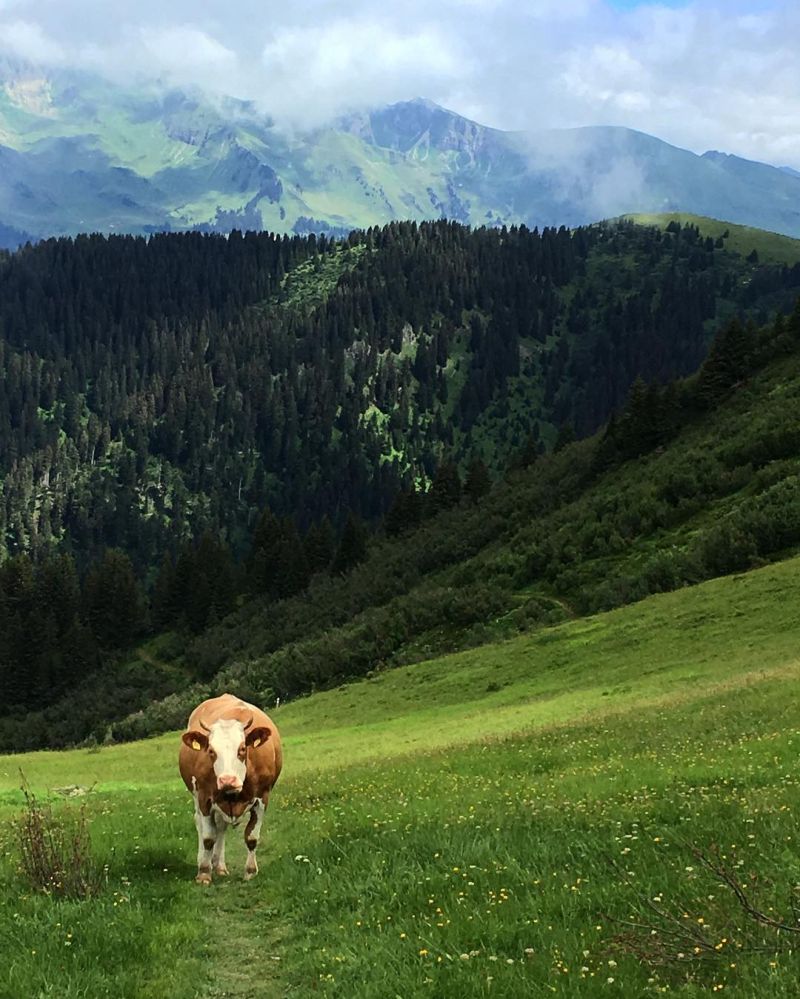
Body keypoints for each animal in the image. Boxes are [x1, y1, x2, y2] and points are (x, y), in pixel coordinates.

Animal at [180, 696, 282, 884]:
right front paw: (204, 872)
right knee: (200, 824)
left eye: (242, 749)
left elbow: (251, 837)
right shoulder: (204, 798)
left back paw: (219, 866)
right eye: (211, 751)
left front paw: (250, 871)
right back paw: (204, 861)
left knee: (221, 827)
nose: (227, 780)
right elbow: (208, 837)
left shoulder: (263, 798)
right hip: (196, 796)